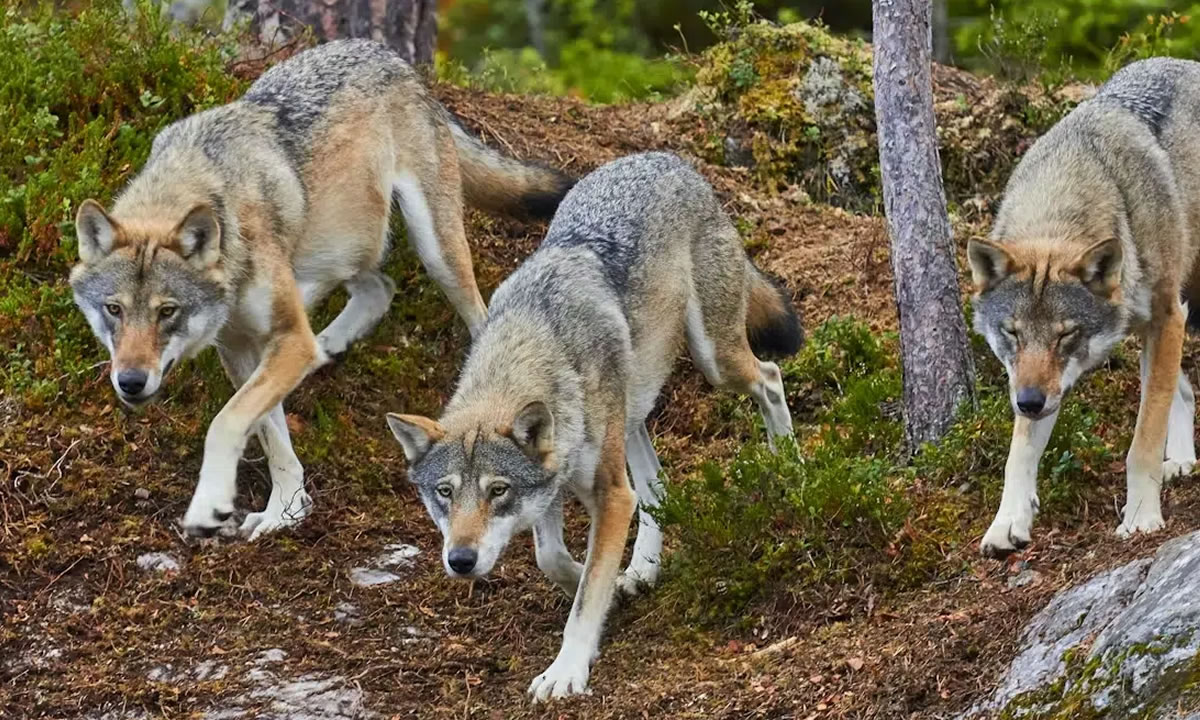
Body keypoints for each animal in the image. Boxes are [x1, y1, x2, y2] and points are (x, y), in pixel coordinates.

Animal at [68, 39, 572, 541]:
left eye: (167, 311)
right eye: (114, 309)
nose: (130, 381)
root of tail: (387, 54)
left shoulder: (286, 340)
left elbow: (226, 421)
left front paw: (210, 505)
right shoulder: (243, 348)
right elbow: (271, 435)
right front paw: (285, 510)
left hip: (435, 252)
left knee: (474, 316)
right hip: (340, 247)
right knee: (379, 288)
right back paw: (328, 346)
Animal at [385, 152, 803, 700]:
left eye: (497, 490)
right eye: (444, 493)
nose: (460, 560)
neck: (533, 342)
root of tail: (667, 159)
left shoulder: (609, 494)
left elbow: (585, 598)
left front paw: (566, 669)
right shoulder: (555, 485)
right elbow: (553, 559)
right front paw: (602, 582)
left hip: (716, 362)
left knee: (771, 378)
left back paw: (792, 467)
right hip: (632, 409)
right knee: (657, 485)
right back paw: (642, 568)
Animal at [968, 57, 1200, 558]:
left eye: (1065, 334)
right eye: (1012, 333)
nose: (1029, 402)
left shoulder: (1167, 316)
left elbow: (1142, 441)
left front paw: (1140, 517)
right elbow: (1018, 454)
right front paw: (1007, 522)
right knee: (1185, 389)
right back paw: (1182, 461)